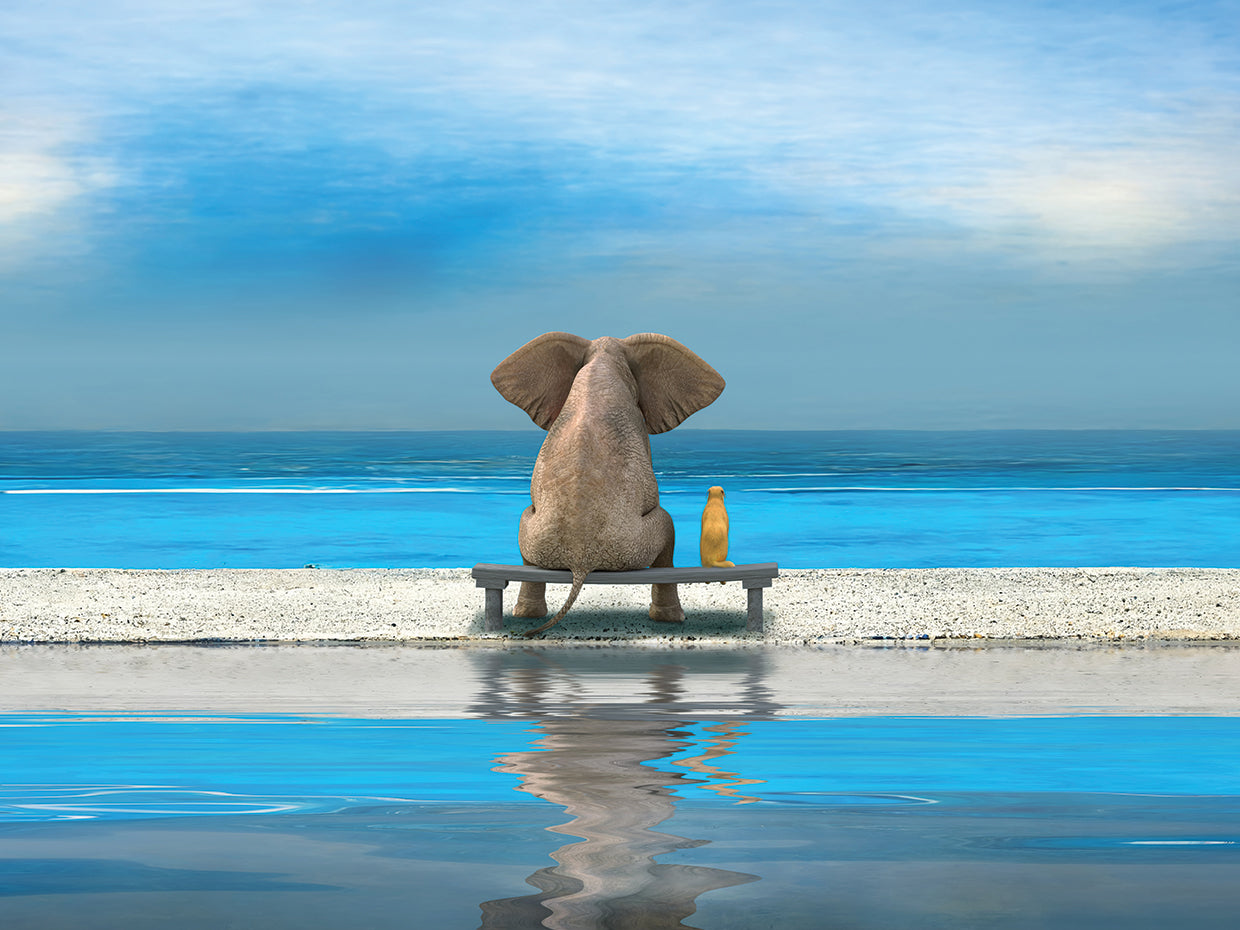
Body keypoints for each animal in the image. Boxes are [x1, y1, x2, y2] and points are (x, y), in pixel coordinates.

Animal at [491, 332, 725, 635]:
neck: (603, 355)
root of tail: (580, 563)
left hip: (537, 536)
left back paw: (526, 616)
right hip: (631, 545)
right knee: (667, 526)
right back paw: (672, 619)